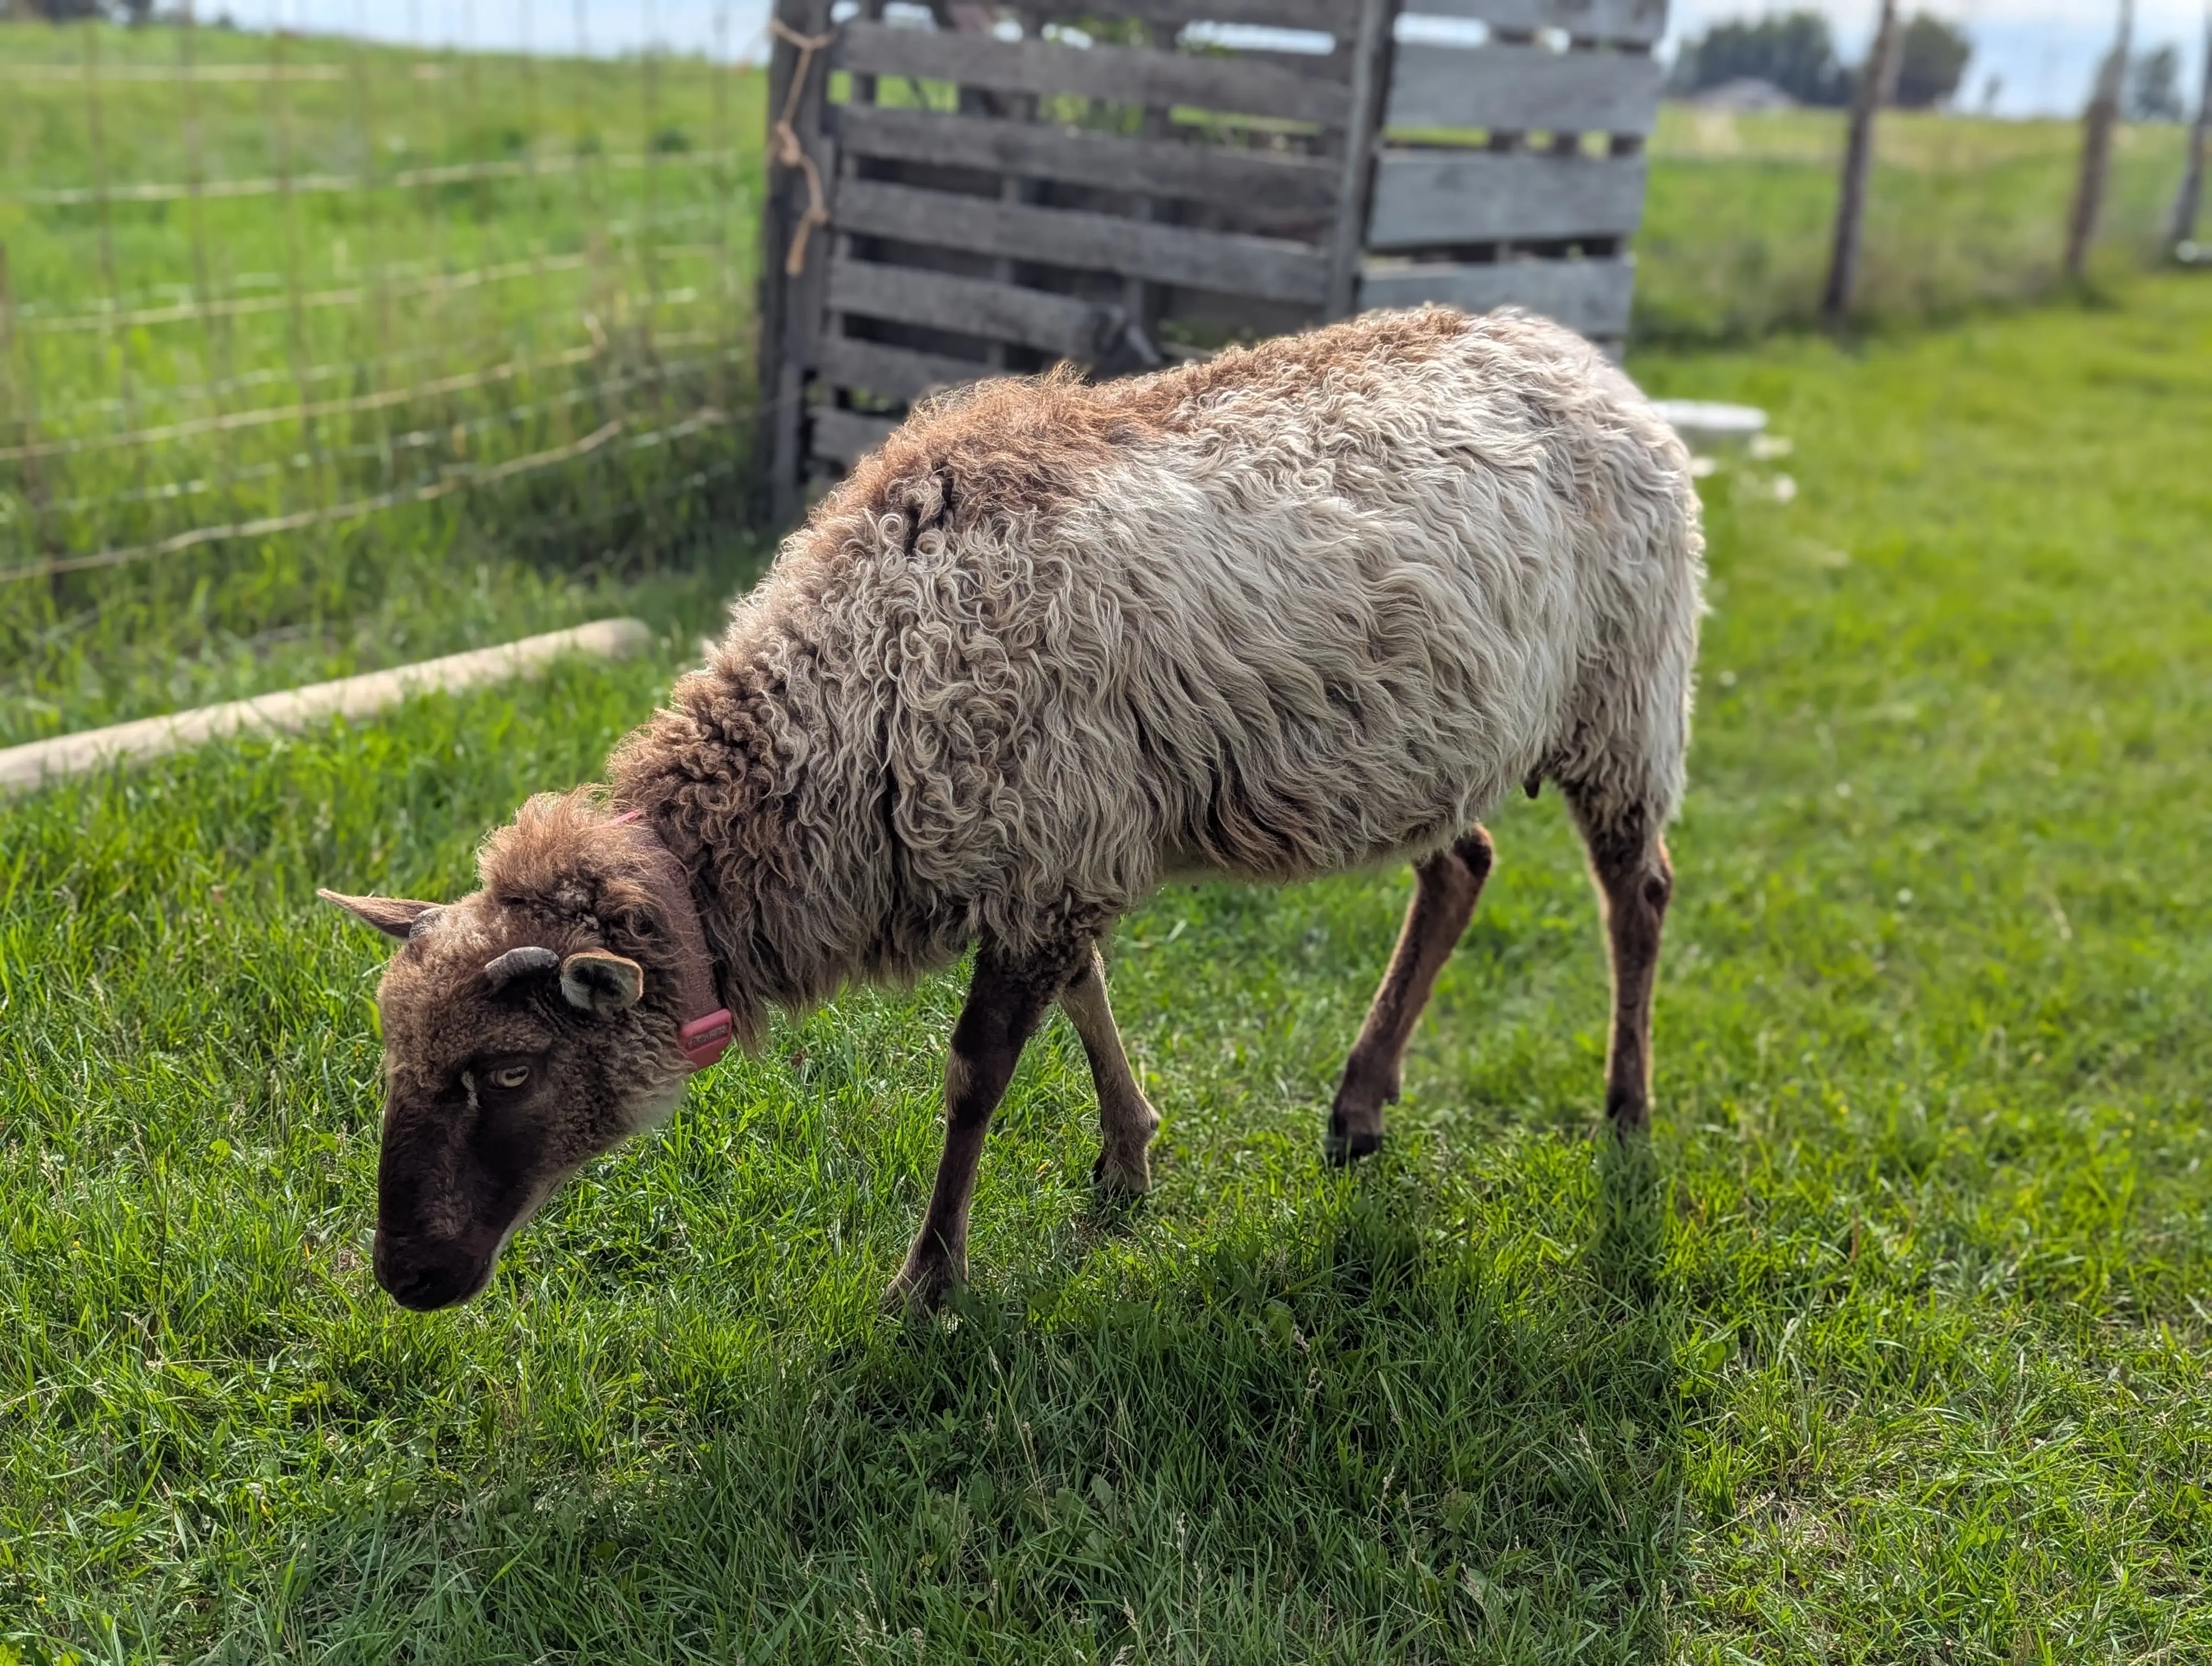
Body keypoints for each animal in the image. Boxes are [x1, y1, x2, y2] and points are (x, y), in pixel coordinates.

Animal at [321, 305, 1704, 1314]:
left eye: (505, 1070)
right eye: (392, 1055)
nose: (408, 1277)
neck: (854, 694)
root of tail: (1584, 357)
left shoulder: (1043, 844)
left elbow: (974, 1074)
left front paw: (928, 1279)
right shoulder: (1053, 846)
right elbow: (1088, 994)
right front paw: (1127, 1156)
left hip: (1626, 694)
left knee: (1638, 895)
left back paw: (1628, 1116)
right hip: (1434, 738)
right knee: (1461, 866)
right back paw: (1359, 1106)